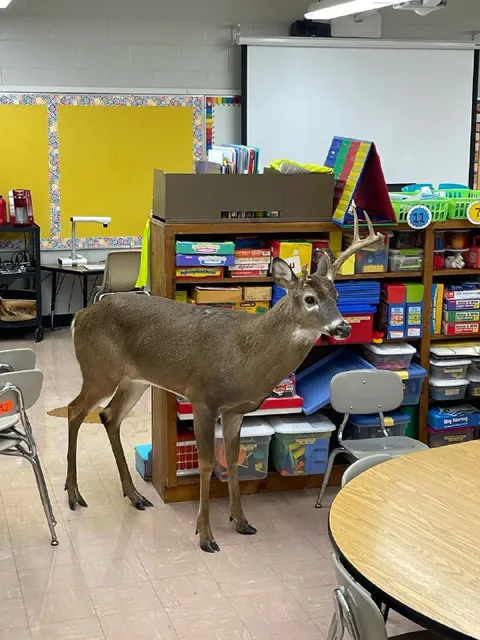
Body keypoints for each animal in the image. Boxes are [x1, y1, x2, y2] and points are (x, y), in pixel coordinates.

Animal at [66, 211, 382, 553]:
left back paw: (135, 496)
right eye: (310, 299)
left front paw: (241, 521)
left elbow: (231, 459)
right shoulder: (203, 398)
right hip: (98, 371)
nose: (343, 328)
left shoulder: (235, 410)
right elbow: (206, 463)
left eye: (337, 296)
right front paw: (205, 535)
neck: (245, 354)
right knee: (74, 410)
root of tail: (79, 317)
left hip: (135, 380)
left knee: (109, 416)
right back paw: (73, 495)